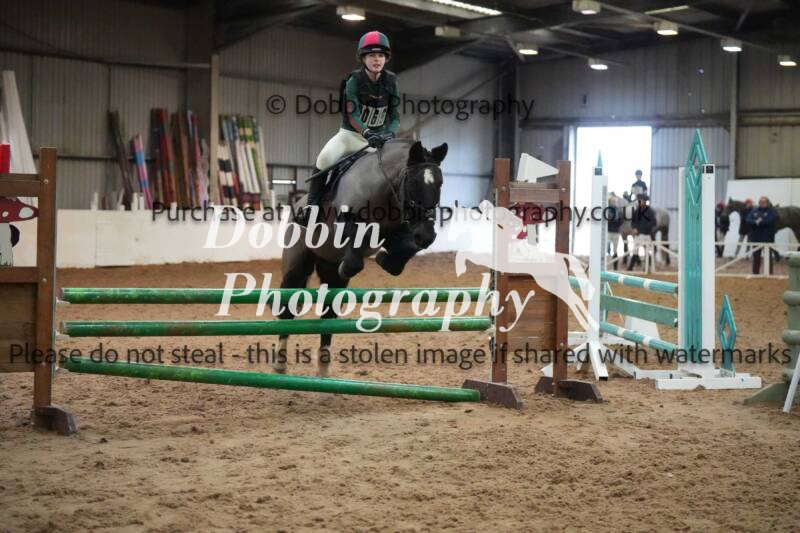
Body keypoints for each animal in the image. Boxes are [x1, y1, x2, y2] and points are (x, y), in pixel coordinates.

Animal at [276, 139, 448, 377]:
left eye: (440, 184)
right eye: (413, 182)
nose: (427, 236)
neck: (384, 189)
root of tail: (298, 204)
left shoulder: (399, 231)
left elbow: (403, 251)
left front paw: (386, 260)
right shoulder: (347, 223)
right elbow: (356, 248)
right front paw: (352, 264)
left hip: (329, 271)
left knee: (328, 313)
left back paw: (323, 371)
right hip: (297, 264)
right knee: (288, 306)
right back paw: (280, 364)